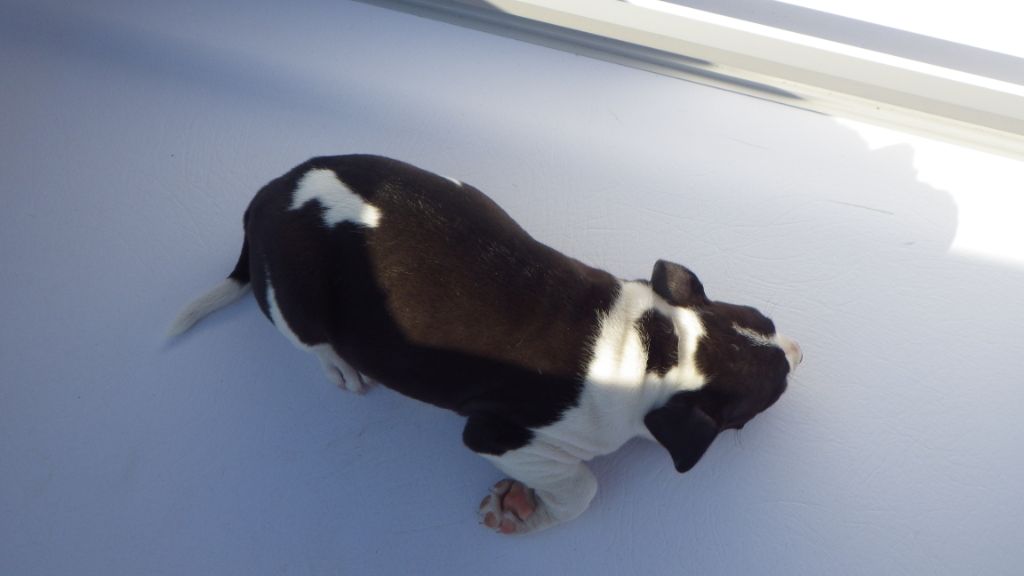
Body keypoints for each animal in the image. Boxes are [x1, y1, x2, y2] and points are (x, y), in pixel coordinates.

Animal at [169, 154, 802, 535]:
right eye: (768, 395)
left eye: (764, 319)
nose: (799, 353)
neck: (653, 347)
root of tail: (269, 196)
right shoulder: (500, 435)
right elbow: (583, 486)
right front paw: (524, 509)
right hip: (299, 302)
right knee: (308, 340)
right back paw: (339, 366)